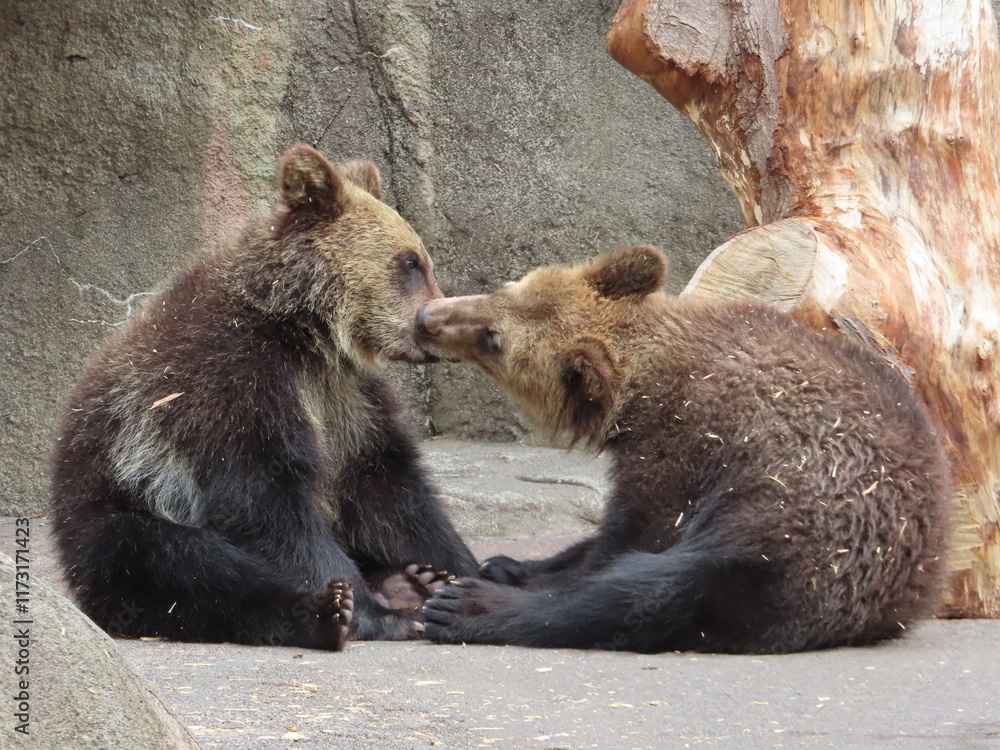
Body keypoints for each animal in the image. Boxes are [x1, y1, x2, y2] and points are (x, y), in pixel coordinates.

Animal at [51, 144, 479, 650]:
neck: (304, 332)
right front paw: (370, 611)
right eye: (410, 262)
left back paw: (407, 580)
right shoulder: (228, 384)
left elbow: (387, 486)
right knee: (185, 566)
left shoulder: (347, 397)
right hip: (117, 513)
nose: (438, 324)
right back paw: (330, 611)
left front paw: (464, 572)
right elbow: (266, 501)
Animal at [415, 244, 951, 654]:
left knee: (649, 594)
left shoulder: (682, 445)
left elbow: (632, 535)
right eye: (505, 289)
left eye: (494, 340)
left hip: (792, 549)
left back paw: (464, 607)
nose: (426, 317)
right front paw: (514, 563)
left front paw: (500, 581)